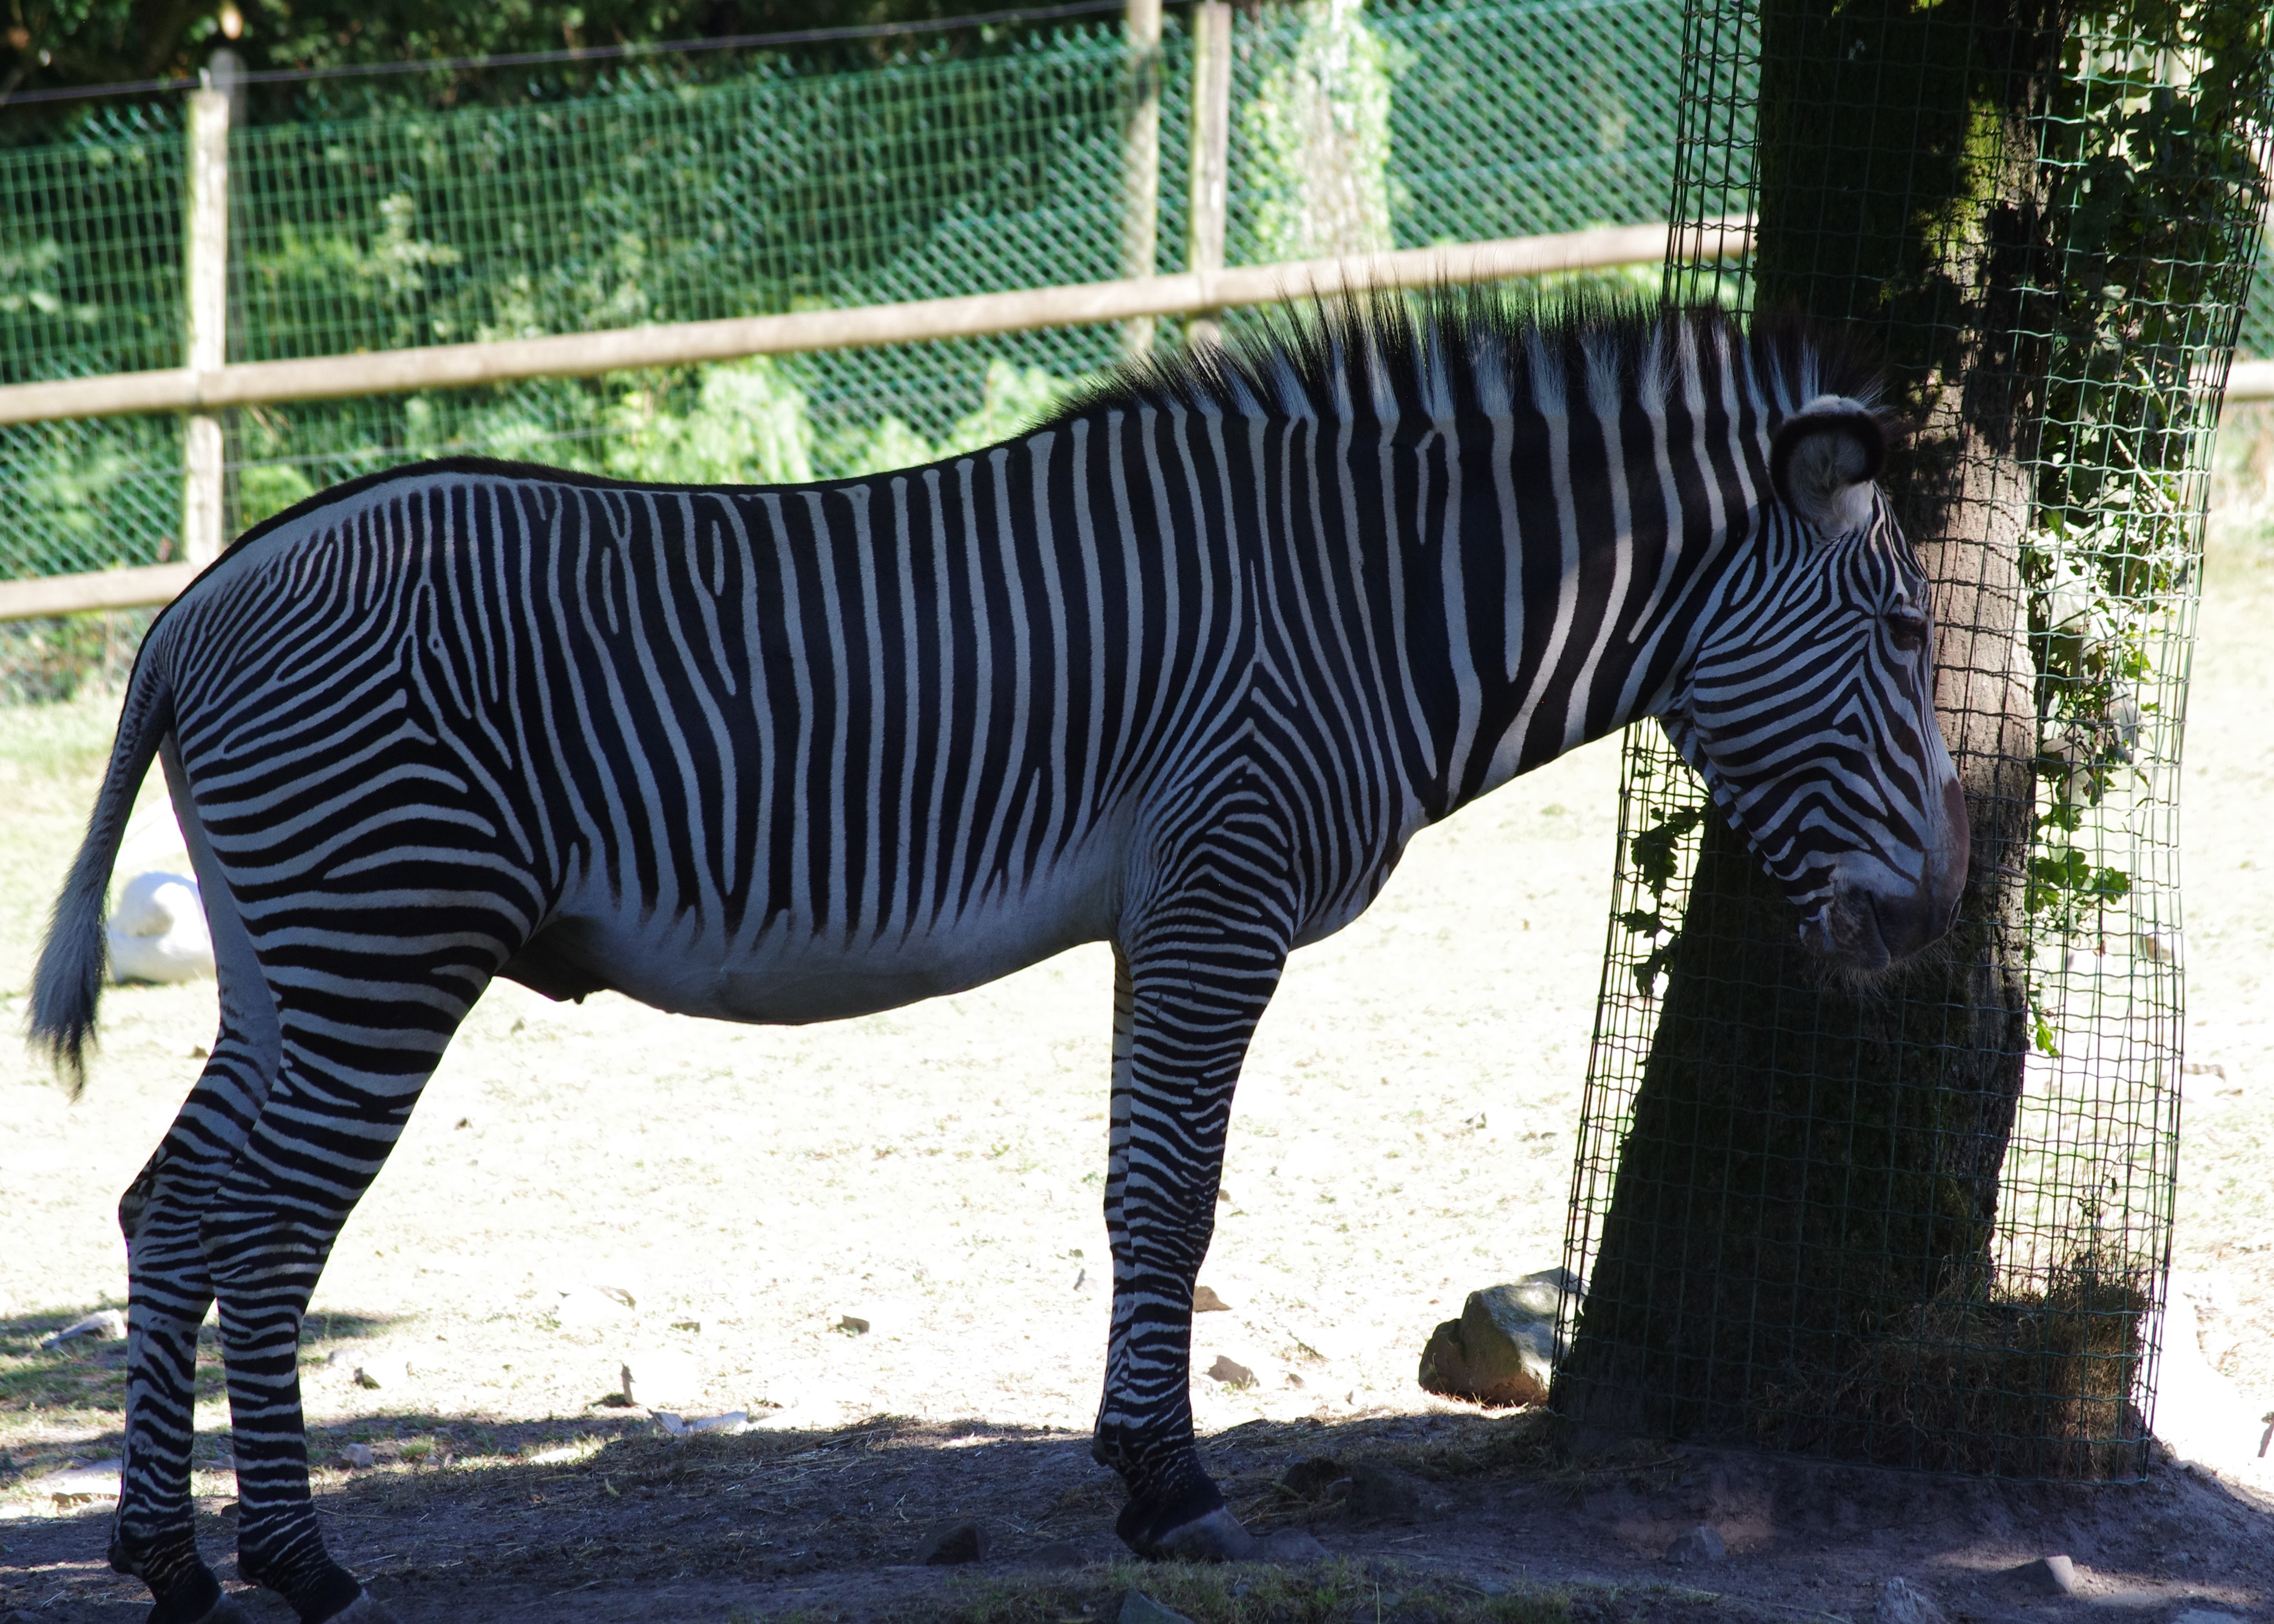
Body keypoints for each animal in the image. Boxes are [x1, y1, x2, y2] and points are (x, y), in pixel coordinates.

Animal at [26, 293, 1964, 1619]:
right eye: (1895, 628)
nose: (1934, 919)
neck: (1364, 605)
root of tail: (190, 610)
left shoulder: (1159, 908)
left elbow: (1137, 1183)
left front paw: (1132, 1462)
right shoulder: (1218, 886)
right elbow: (1173, 1191)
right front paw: (1172, 1486)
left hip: (293, 957)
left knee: (170, 1204)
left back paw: (168, 1557)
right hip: (381, 938)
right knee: (264, 1230)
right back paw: (300, 1563)